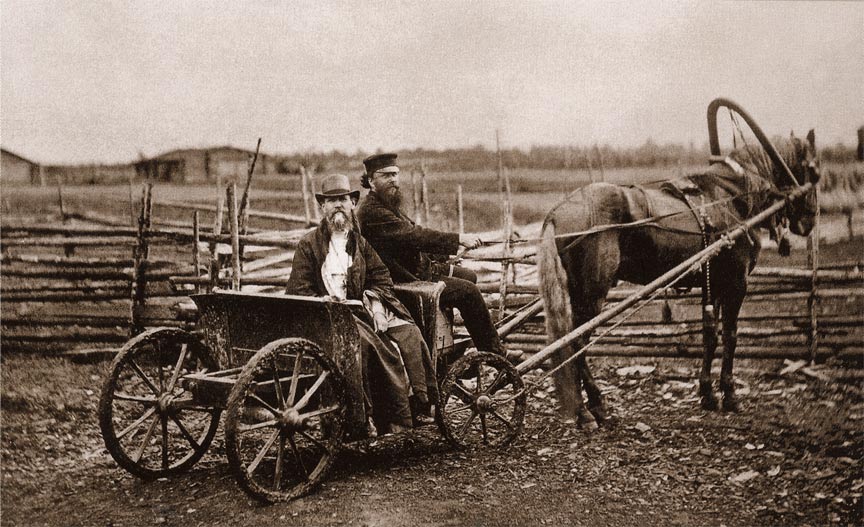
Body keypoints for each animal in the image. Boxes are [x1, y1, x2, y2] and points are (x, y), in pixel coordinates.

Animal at [536, 130, 820, 432]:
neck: (733, 198)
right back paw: (590, 409)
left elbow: (710, 335)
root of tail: (556, 212)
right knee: (576, 343)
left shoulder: (712, 285)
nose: (809, 221)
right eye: (814, 169)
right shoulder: (736, 283)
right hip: (592, 295)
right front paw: (730, 395)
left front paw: (708, 394)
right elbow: (730, 336)